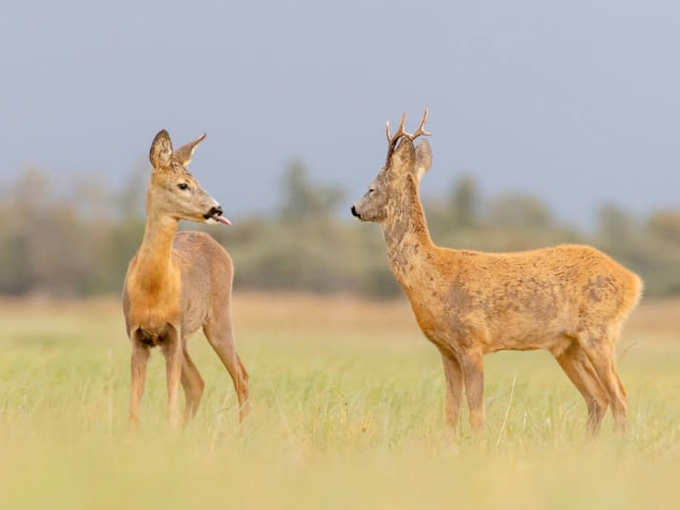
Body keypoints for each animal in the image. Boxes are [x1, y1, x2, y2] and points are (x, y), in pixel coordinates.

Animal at [123, 129, 248, 428]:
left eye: (197, 181)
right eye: (183, 185)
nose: (217, 209)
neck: (153, 289)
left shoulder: (173, 332)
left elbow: (171, 401)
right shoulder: (137, 335)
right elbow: (135, 405)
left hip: (218, 316)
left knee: (241, 375)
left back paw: (242, 431)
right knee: (197, 383)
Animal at [350, 108, 644, 434]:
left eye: (371, 187)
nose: (354, 208)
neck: (431, 274)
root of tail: (633, 281)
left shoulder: (472, 341)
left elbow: (475, 408)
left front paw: (477, 441)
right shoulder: (446, 350)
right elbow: (450, 409)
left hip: (599, 331)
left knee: (619, 396)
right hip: (567, 345)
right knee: (597, 399)